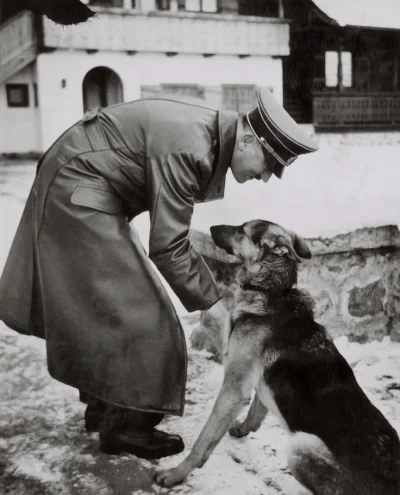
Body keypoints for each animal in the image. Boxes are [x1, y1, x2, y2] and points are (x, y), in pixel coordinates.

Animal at [156, 222, 400, 495]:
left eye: (242, 229)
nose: (210, 227)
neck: (270, 290)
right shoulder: (258, 383)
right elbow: (256, 409)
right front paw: (243, 428)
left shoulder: (234, 388)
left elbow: (204, 437)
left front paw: (177, 473)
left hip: (300, 445)